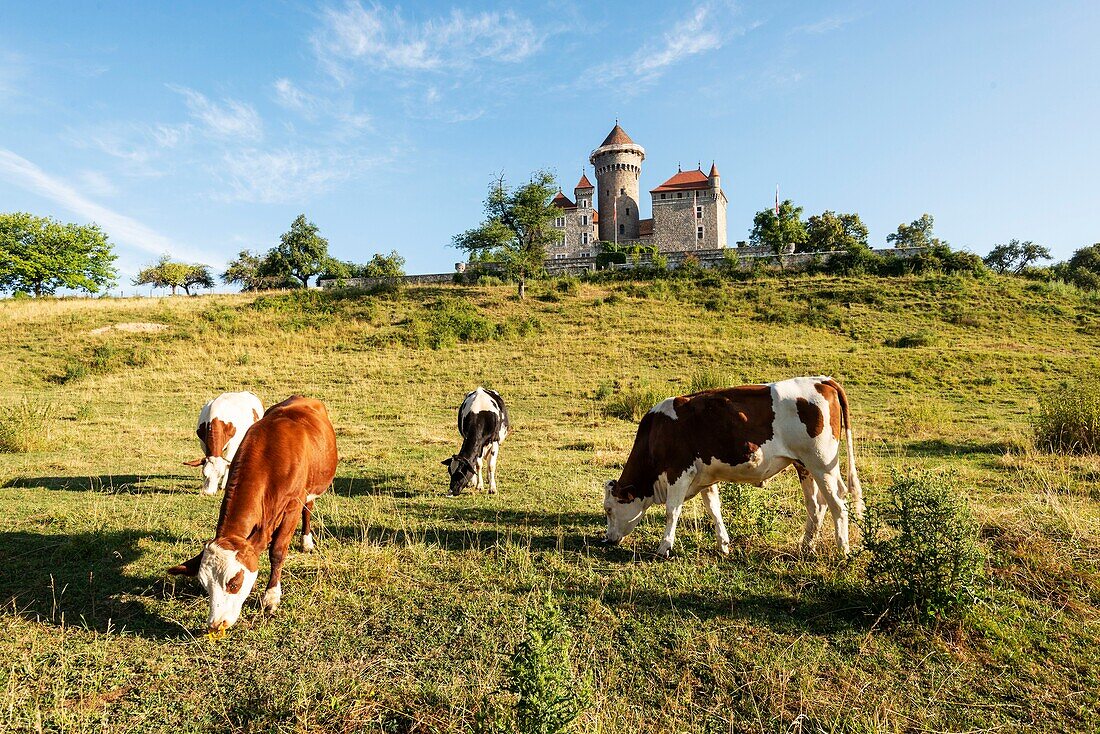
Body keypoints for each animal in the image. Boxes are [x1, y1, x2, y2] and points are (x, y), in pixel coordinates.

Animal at [166, 396, 334, 633]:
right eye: (205, 585)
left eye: (234, 583)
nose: (215, 625)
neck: (271, 454)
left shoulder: (293, 505)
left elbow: (278, 551)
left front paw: (271, 596)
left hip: (310, 491)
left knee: (307, 511)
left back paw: (306, 541)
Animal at [607, 376, 862, 559]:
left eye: (608, 509)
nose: (607, 539)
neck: (657, 432)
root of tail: (821, 380)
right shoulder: (705, 477)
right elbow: (714, 509)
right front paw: (723, 545)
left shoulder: (678, 473)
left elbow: (672, 511)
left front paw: (664, 547)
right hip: (805, 465)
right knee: (816, 505)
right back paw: (807, 547)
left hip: (822, 464)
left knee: (838, 505)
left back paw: (843, 551)